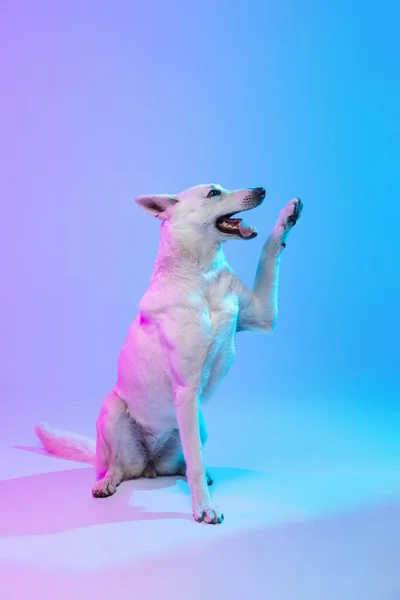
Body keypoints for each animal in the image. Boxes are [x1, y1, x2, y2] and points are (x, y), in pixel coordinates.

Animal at [35, 184, 304, 524]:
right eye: (214, 192)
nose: (261, 189)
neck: (202, 273)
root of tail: (149, 466)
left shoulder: (263, 316)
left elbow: (269, 252)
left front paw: (288, 216)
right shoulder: (187, 389)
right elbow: (195, 460)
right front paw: (205, 507)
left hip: (199, 423)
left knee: (184, 463)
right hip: (113, 411)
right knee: (121, 466)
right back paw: (107, 481)